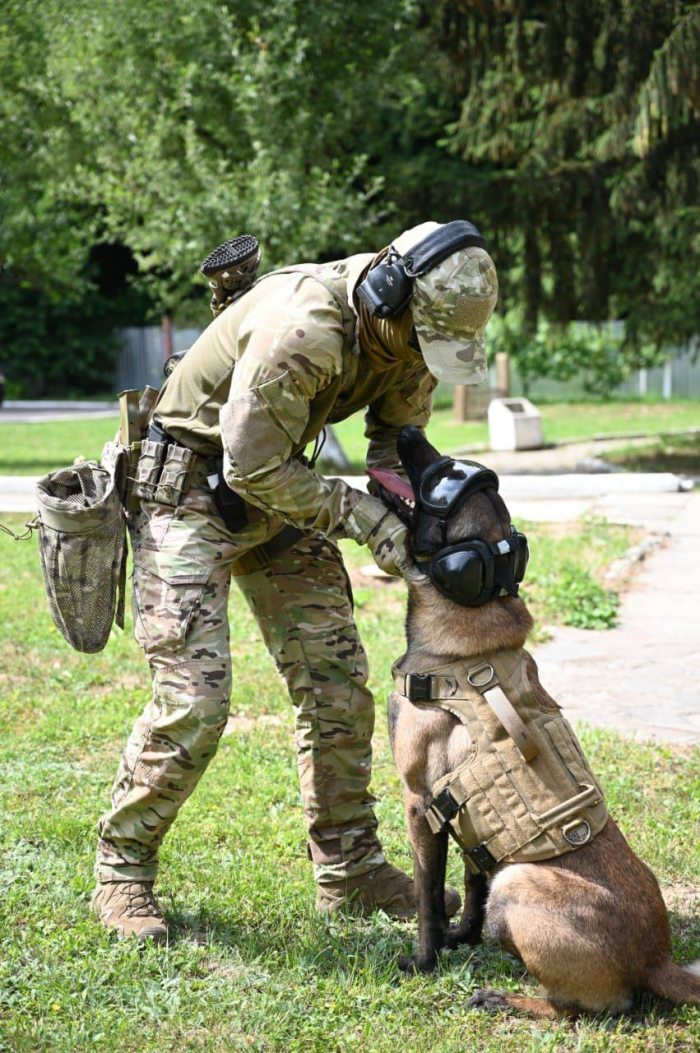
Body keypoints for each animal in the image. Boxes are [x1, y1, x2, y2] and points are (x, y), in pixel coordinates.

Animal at [374, 423, 694, 1015]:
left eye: (439, 478)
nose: (406, 429)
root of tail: (657, 960)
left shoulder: (420, 804)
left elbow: (428, 897)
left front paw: (425, 960)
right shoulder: (466, 817)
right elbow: (471, 881)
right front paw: (464, 937)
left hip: (519, 882)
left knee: (590, 1008)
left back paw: (508, 999)